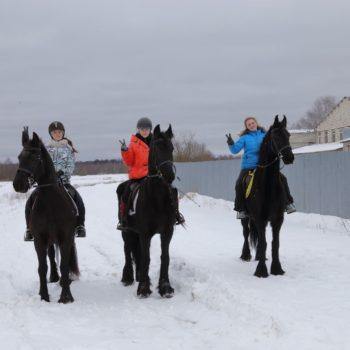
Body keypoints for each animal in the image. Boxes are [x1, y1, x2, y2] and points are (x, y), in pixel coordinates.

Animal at [12, 129, 79, 304]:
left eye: (35, 157)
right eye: (19, 157)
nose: (18, 184)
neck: (51, 203)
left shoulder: (66, 237)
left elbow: (64, 265)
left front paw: (66, 296)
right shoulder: (39, 239)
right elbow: (42, 267)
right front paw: (44, 295)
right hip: (49, 239)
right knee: (51, 257)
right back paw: (55, 277)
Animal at [120, 124, 178, 296]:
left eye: (171, 148)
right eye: (157, 148)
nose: (169, 175)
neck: (157, 199)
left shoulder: (167, 231)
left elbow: (164, 257)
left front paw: (165, 287)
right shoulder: (145, 233)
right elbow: (146, 257)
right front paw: (144, 288)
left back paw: (140, 275)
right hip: (126, 231)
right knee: (127, 250)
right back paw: (128, 277)